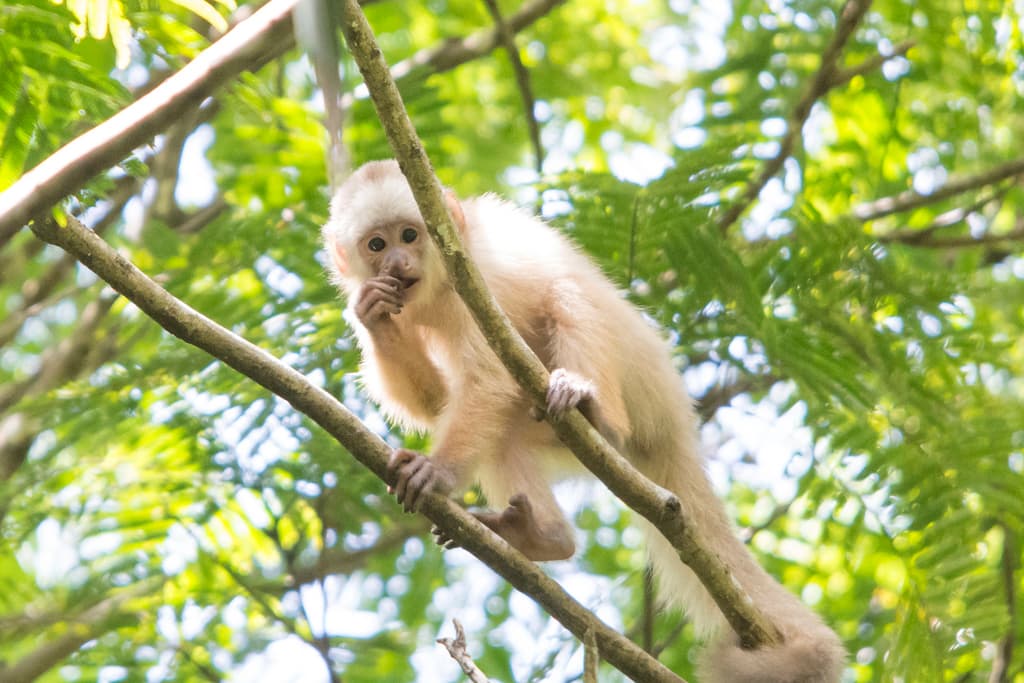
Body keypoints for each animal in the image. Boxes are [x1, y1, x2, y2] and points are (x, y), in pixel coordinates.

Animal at [321, 159, 847, 682]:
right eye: (377, 245)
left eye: (410, 235)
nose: (397, 264)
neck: (437, 288)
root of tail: (678, 419)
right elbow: (436, 402)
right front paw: (374, 316)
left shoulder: (471, 278)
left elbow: (488, 379)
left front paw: (437, 472)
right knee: (504, 432)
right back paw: (543, 537)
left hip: (642, 376)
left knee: (568, 294)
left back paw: (594, 412)